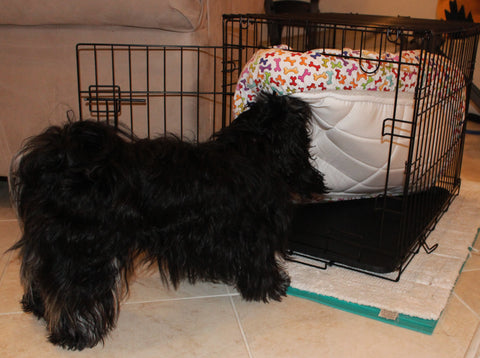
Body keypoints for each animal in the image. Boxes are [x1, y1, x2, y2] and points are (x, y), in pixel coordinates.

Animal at [8, 92, 326, 350]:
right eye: (301, 129)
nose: (302, 104)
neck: (251, 148)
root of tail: (59, 159)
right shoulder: (255, 233)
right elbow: (260, 264)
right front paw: (273, 287)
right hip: (83, 251)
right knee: (71, 295)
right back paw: (75, 335)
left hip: (48, 245)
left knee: (40, 277)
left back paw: (37, 308)